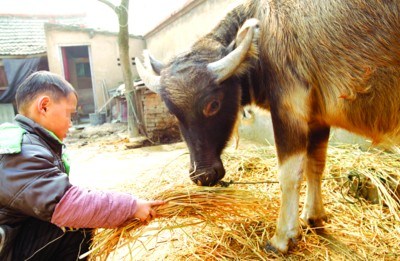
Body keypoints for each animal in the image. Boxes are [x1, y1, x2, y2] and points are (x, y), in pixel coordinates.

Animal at [135, 0, 400, 253]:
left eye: (213, 104)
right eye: (173, 111)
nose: (202, 175)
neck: (263, 39)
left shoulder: (288, 108)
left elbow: (289, 174)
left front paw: (283, 237)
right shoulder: (317, 119)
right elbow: (315, 166)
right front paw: (313, 216)